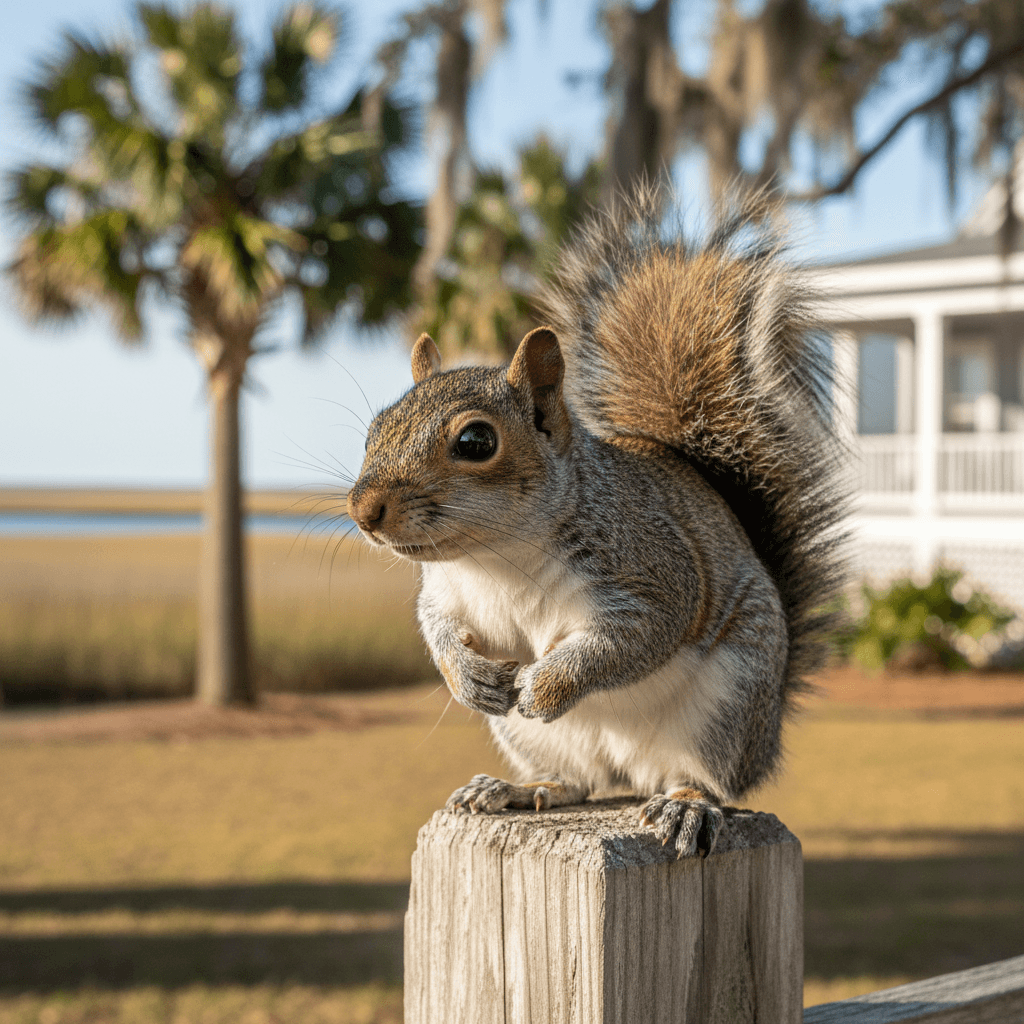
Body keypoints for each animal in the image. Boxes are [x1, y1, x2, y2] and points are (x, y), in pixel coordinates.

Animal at [347, 188, 845, 858]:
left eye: (476, 441)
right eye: (376, 428)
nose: (363, 510)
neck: (494, 557)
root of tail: (631, 770)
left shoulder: (653, 573)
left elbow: (629, 639)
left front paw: (545, 685)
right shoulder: (445, 594)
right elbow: (438, 630)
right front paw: (469, 679)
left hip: (729, 702)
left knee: (705, 777)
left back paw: (686, 806)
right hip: (534, 739)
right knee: (579, 782)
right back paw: (516, 789)